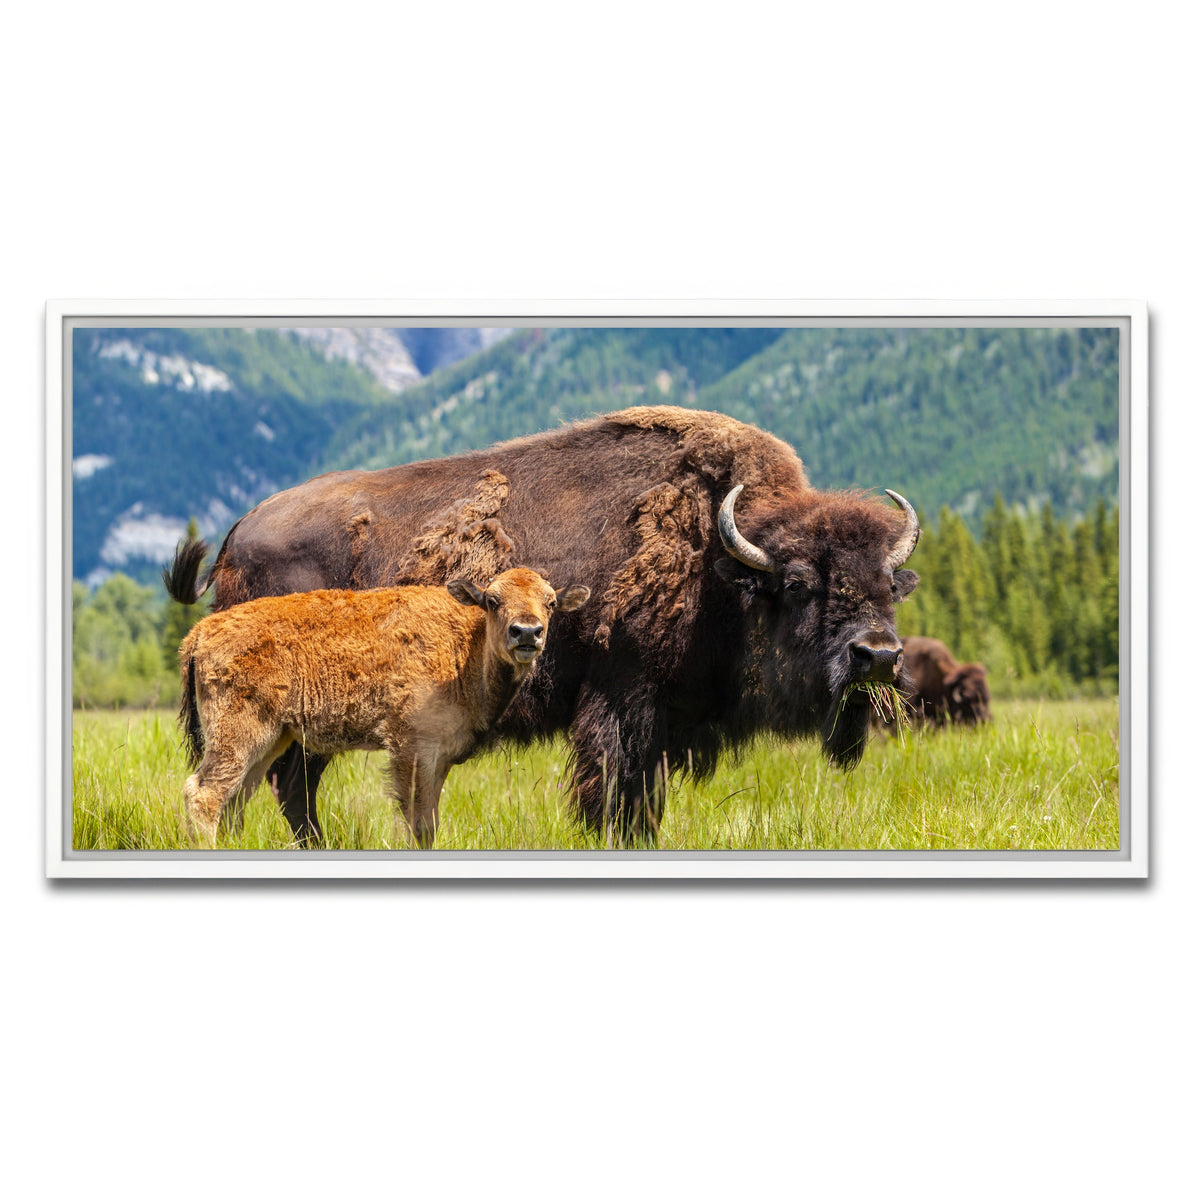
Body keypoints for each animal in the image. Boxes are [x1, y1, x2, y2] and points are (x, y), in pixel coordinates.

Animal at [177, 567, 589, 848]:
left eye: (551, 602)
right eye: (493, 600)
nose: (527, 632)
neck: (465, 646)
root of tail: (200, 631)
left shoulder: (439, 756)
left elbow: (430, 820)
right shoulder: (411, 748)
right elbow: (416, 821)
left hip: (270, 739)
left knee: (236, 797)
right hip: (237, 736)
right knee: (204, 793)